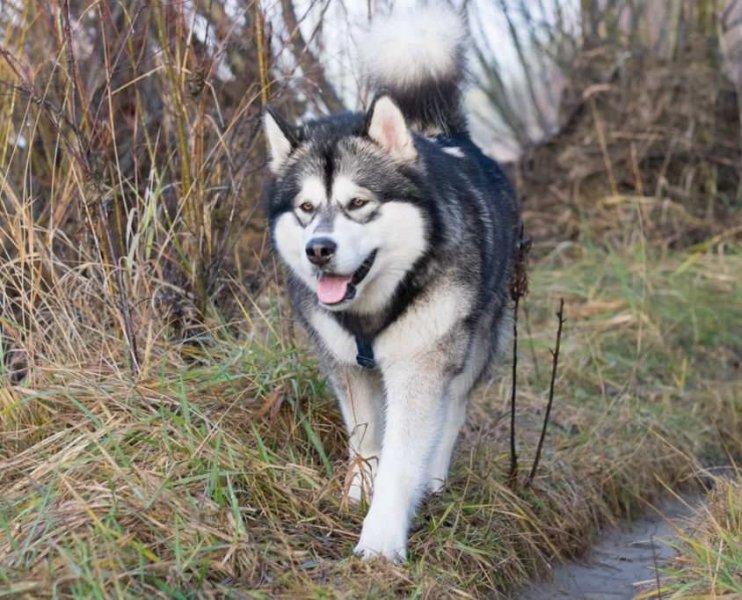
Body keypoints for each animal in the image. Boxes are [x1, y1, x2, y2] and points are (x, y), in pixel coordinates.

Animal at [264, 3, 520, 564]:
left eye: (359, 203)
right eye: (306, 208)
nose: (319, 250)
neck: (374, 307)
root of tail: (446, 137)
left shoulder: (420, 366)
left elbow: (405, 455)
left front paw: (381, 538)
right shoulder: (344, 365)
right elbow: (365, 440)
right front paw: (358, 493)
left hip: (473, 340)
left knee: (452, 409)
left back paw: (435, 477)